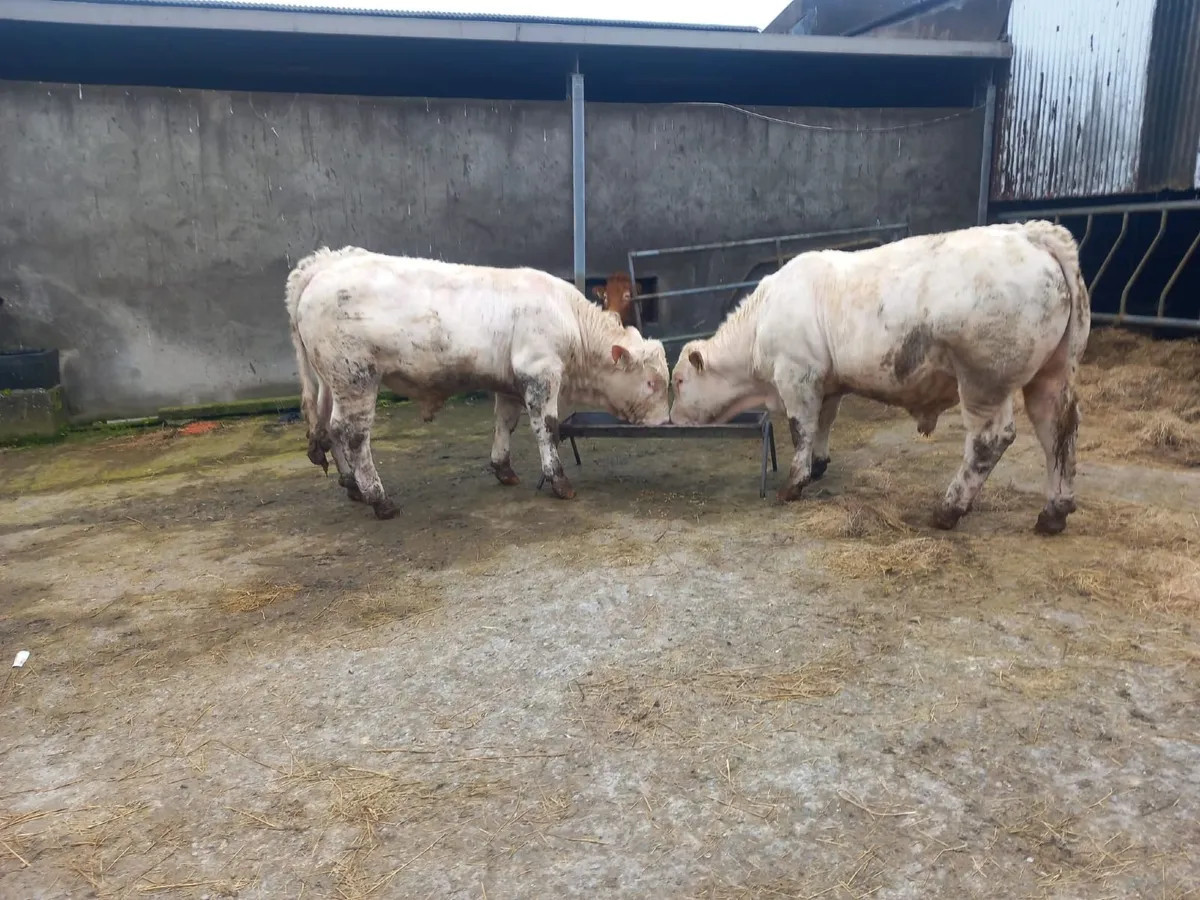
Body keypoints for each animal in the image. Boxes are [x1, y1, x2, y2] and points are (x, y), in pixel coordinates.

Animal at [285, 247, 671, 520]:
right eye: (652, 382)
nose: (665, 422)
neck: (569, 319)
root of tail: (320, 268)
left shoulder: (510, 383)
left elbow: (505, 423)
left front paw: (503, 468)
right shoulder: (540, 374)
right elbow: (547, 428)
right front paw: (558, 480)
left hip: (333, 381)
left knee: (330, 427)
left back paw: (351, 484)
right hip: (356, 379)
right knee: (353, 435)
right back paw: (379, 498)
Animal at [668, 220, 1090, 536]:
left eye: (680, 382)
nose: (671, 419)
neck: (761, 322)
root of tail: (1031, 233)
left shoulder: (797, 376)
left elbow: (800, 429)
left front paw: (793, 484)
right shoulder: (827, 383)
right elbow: (823, 423)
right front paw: (818, 465)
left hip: (984, 381)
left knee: (989, 441)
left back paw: (949, 509)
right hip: (1052, 376)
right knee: (1058, 432)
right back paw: (1054, 512)